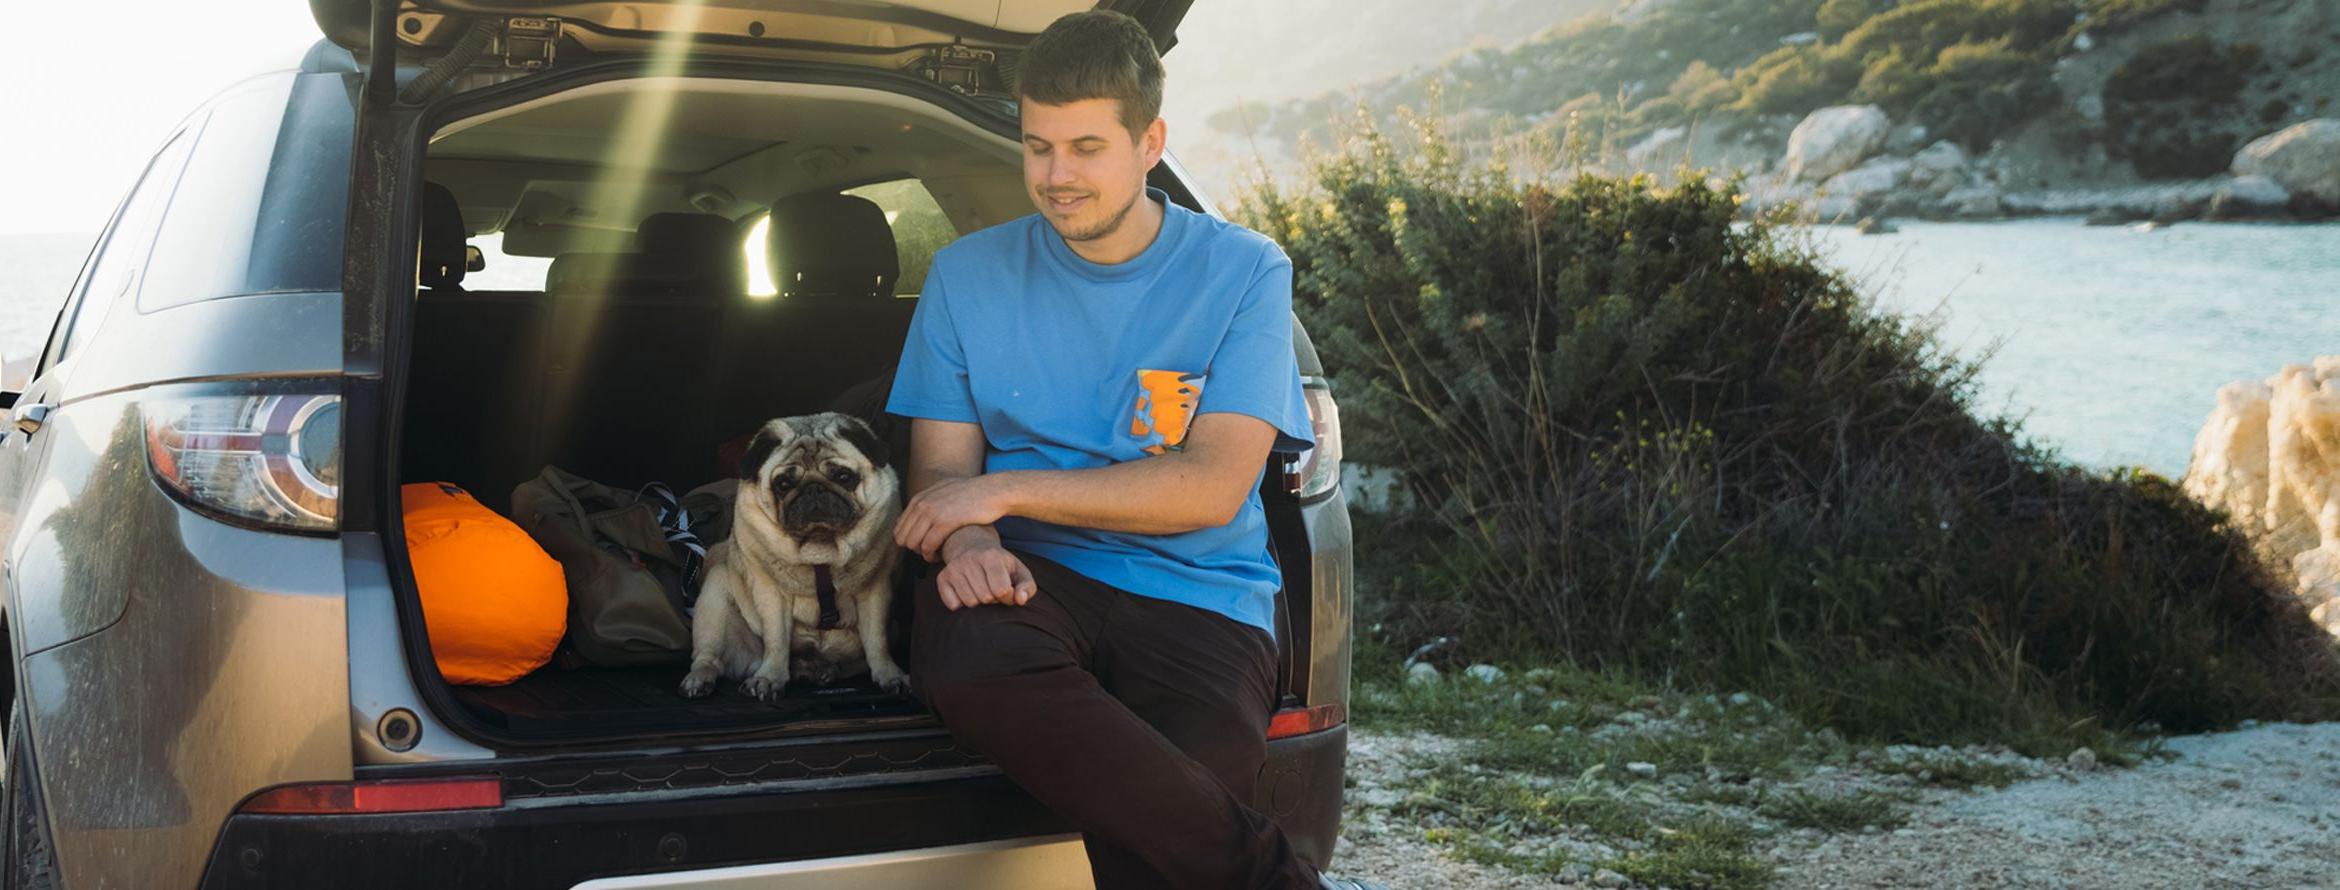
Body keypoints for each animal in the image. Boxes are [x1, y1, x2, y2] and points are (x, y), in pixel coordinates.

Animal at [683, 414, 907, 697]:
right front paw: (769, 677)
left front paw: (889, 674)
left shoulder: (874, 591)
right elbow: (777, 639)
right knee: (708, 656)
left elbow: (877, 641)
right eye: (784, 484)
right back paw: (700, 678)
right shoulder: (772, 595)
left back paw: (819, 671)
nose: (813, 489)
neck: (820, 550)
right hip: (715, 592)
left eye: (843, 476)